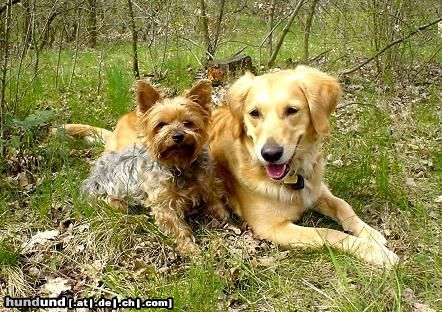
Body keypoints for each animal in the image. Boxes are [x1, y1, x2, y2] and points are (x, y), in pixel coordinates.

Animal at [81, 79, 230, 255]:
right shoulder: (163, 204)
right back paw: (138, 218)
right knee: (119, 214)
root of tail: (90, 177)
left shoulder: (206, 180)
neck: (179, 165)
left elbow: (213, 196)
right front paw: (190, 248)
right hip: (110, 201)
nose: (177, 136)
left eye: (188, 123)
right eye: (161, 125)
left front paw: (222, 213)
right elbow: (177, 226)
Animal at [209, 66, 398, 266]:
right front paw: (376, 252)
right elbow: (329, 233)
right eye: (255, 113)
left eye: (292, 110)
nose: (270, 154)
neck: (294, 176)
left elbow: (343, 205)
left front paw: (370, 232)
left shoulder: (315, 189)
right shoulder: (272, 227)